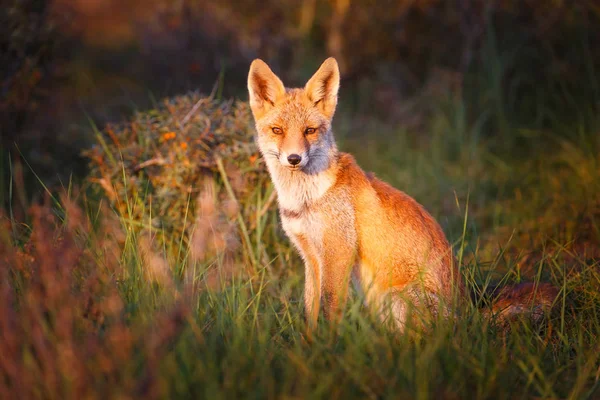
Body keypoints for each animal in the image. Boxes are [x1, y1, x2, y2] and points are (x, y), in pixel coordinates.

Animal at [246, 57, 556, 332]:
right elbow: (311, 310)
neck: (306, 199)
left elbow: (329, 308)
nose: (294, 158)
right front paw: (308, 344)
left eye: (309, 131)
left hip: (394, 299)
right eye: (277, 130)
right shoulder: (311, 256)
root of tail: (467, 314)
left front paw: (327, 347)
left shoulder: (338, 251)